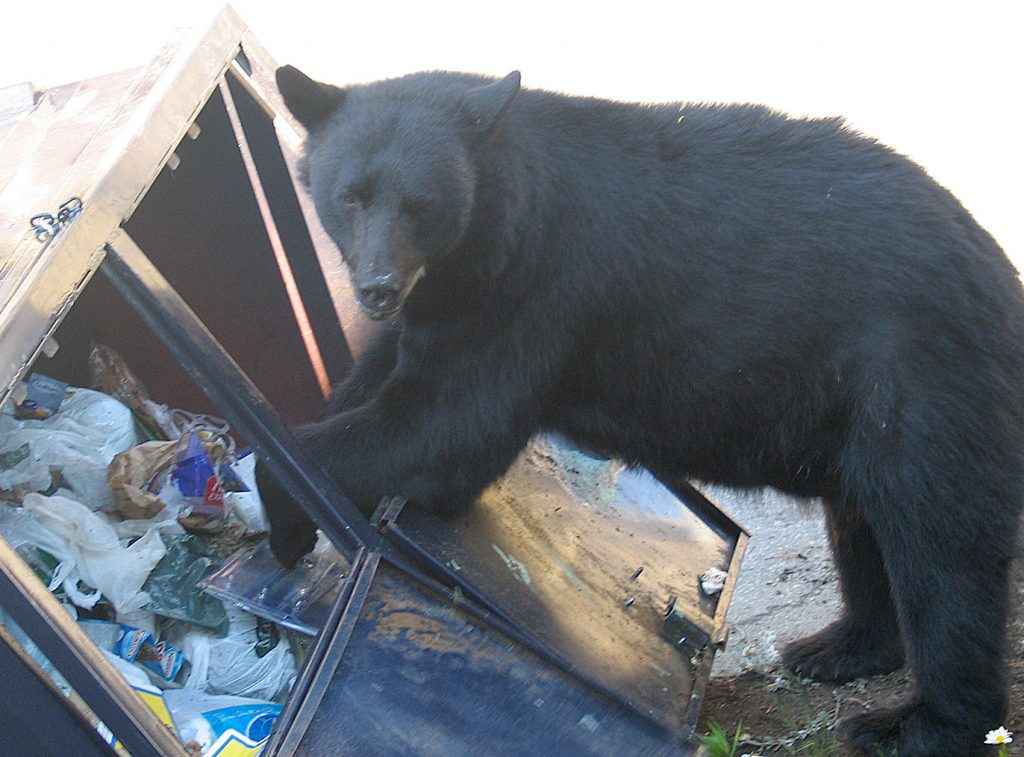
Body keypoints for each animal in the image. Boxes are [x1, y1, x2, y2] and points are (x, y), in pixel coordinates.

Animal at [264, 64, 1024, 756]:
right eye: (350, 196)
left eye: (424, 204)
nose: (377, 288)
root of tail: (1001, 274)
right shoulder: (439, 306)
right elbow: (382, 385)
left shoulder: (530, 292)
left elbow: (444, 434)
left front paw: (289, 520)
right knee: (863, 521)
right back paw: (841, 646)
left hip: (919, 377)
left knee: (941, 548)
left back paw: (916, 723)